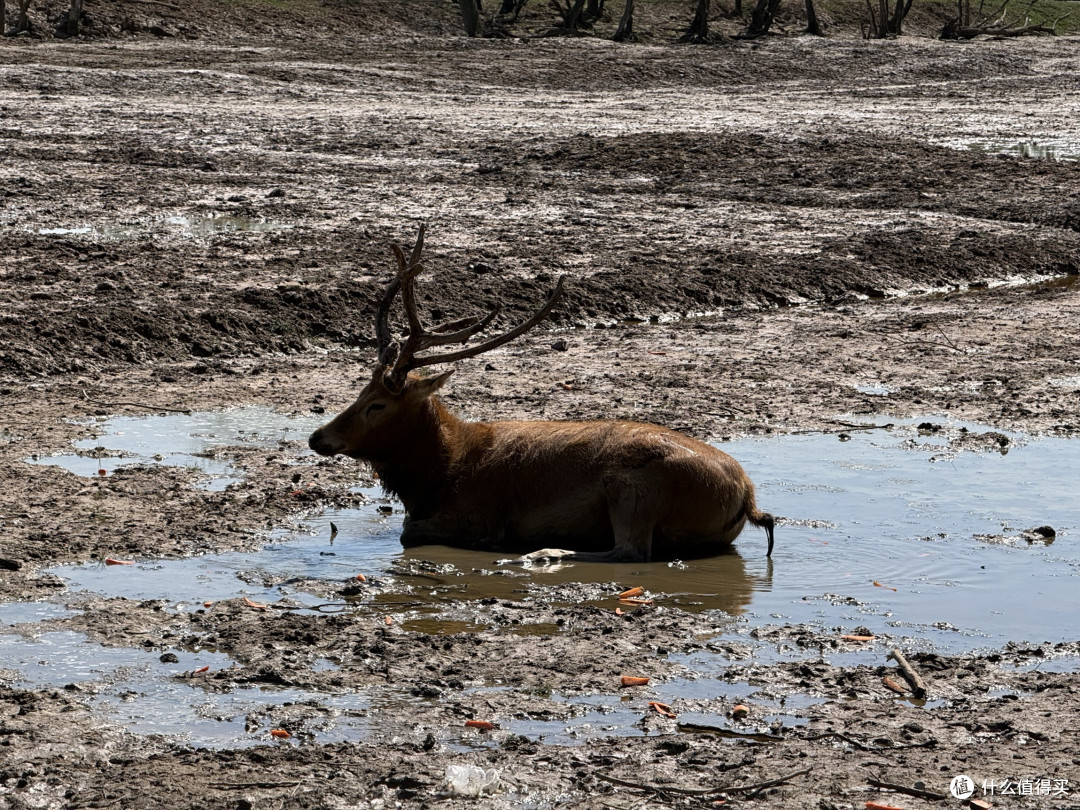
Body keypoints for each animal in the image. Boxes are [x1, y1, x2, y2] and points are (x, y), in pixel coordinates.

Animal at [308, 226, 775, 564]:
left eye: (378, 404)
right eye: (360, 388)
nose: (318, 437)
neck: (440, 474)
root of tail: (748, 497)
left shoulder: (479, 514)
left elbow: (410, 532)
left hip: (634, 488)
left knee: (631, 551)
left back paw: (540, 554)